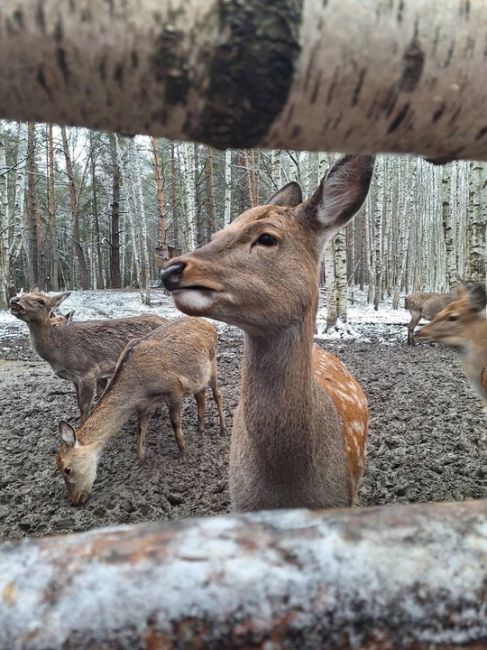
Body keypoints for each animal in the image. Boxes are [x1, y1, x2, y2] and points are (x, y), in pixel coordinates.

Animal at [10, 284, 168, 418]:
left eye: (41, 301)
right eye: (24, 293)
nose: (14, 300)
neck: (59, 353)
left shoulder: (88, 372)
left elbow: (84, 406)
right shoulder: (74, 378)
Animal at [56, 314, 228, 502]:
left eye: (67, 469)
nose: (75, 500)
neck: (139, 388)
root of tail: (210, 325)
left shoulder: (174, 389)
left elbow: (175, 424)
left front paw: (184, 454)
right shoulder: (145, 404)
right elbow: (141, 428)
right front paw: (139, 459)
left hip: (213, 359)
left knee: (218, 393)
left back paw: (223, 429)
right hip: (198, 375)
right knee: (201, 393)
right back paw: (200, 427)